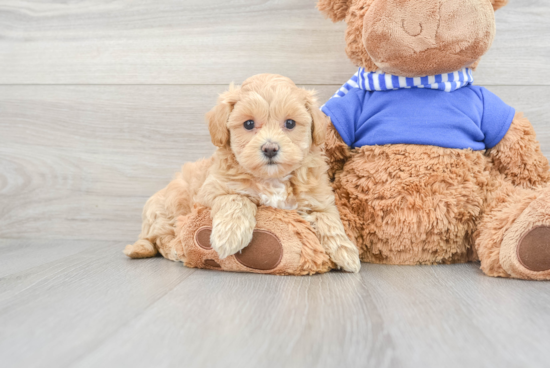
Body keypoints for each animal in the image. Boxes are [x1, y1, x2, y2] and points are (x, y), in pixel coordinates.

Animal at [125, 73, 362, 272]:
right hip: (169, 207)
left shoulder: (317, 199)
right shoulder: (211, 191)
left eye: (290, 123)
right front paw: (229, 235)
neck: (273, 179)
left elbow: (329, 219)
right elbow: (236, 198)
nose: (270, 148)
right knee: (160, 238)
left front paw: (346, 252)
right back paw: (174, 249)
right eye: (248, 123)